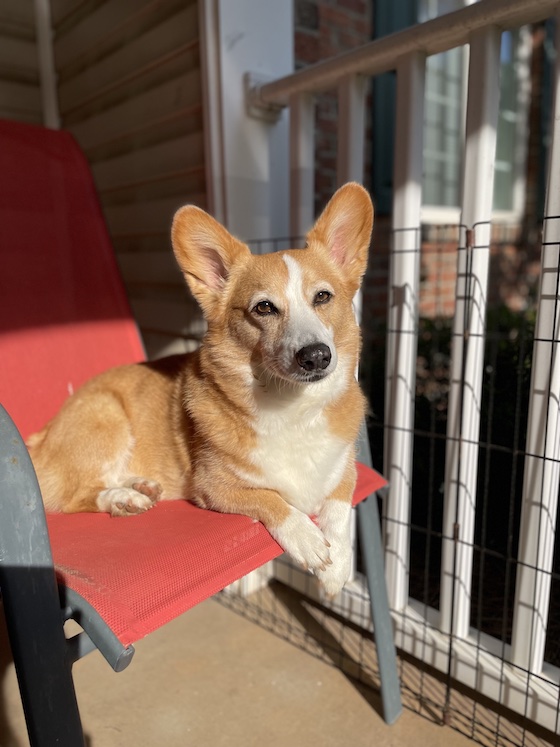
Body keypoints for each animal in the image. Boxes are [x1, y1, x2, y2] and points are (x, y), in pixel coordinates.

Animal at [28, 181, 374, 596]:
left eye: (322, 297)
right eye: (264, 308)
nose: (317, 356)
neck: (291, 407)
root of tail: (40, 438)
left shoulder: (344, 469)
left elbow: (340, 505)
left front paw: (338, 565)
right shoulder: (214, 487)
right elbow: (272, 499)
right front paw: (308, 539)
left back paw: (139, 486)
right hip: (105, 417)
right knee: (73, 495)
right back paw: (123, 498)